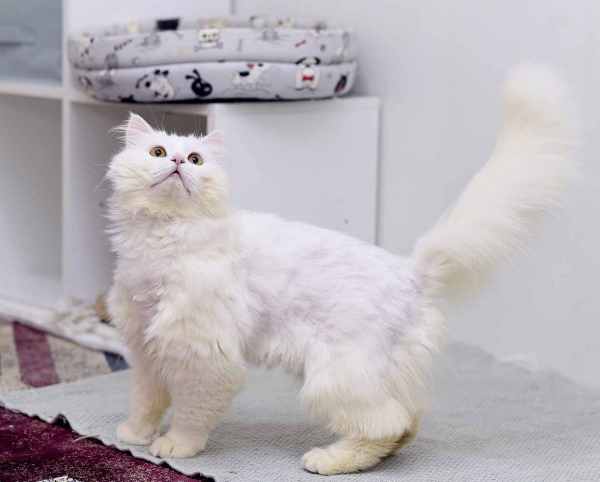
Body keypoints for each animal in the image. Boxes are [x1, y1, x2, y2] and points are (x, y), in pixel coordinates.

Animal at [107, 64, 576, 475]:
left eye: (197, 160)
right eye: (157, 152)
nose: (178, 163)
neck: (164, 238)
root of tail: (411, 271)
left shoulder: (202, 354)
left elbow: (190, 412)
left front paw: (176, 446)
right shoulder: (147, 348)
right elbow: (146, 400)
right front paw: (135, 434)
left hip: (334, 375)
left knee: (385, 423)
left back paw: (329, 461)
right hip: (376, 374)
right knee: (408, 419)